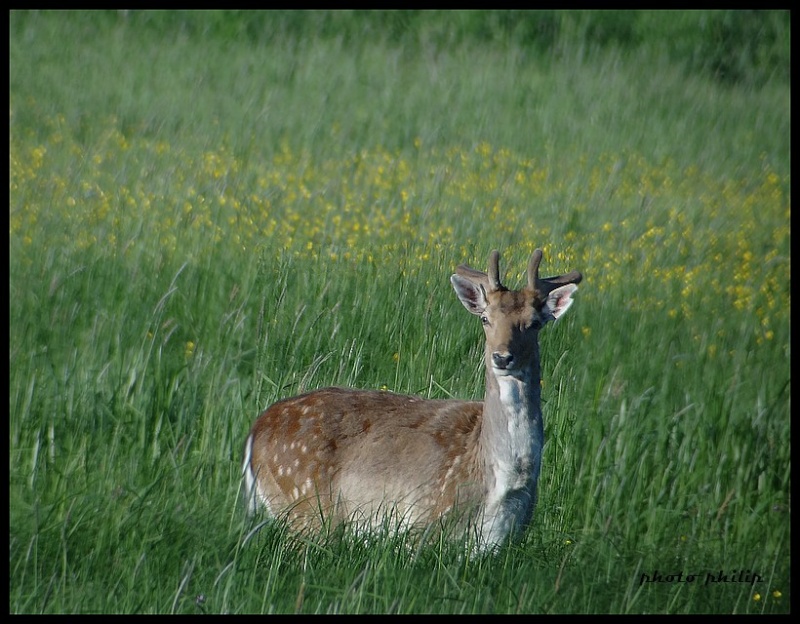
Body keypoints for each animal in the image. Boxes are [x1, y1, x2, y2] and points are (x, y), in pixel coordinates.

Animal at [242, 249, 580, 552]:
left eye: (534, 322)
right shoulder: (424, 521)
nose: (502, 357)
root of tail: (254, 433)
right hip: (304, 508)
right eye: (485, 318)